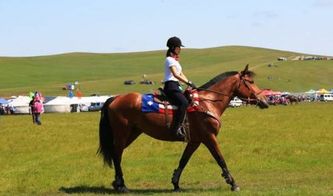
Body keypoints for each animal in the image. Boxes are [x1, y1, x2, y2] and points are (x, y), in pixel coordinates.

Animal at [97, 64, 268, 191]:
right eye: (251, 82)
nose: (264, 100)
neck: (208, 102)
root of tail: (115, 98)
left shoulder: (195, 141)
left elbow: (184, 160)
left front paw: (175, 183)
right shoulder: (209, 138)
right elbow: (220, 159)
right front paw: (233, 183)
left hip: (132, 133)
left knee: (116, 153)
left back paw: (117, 183)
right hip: (122, 133)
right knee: (117, 154)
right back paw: (121, 185)